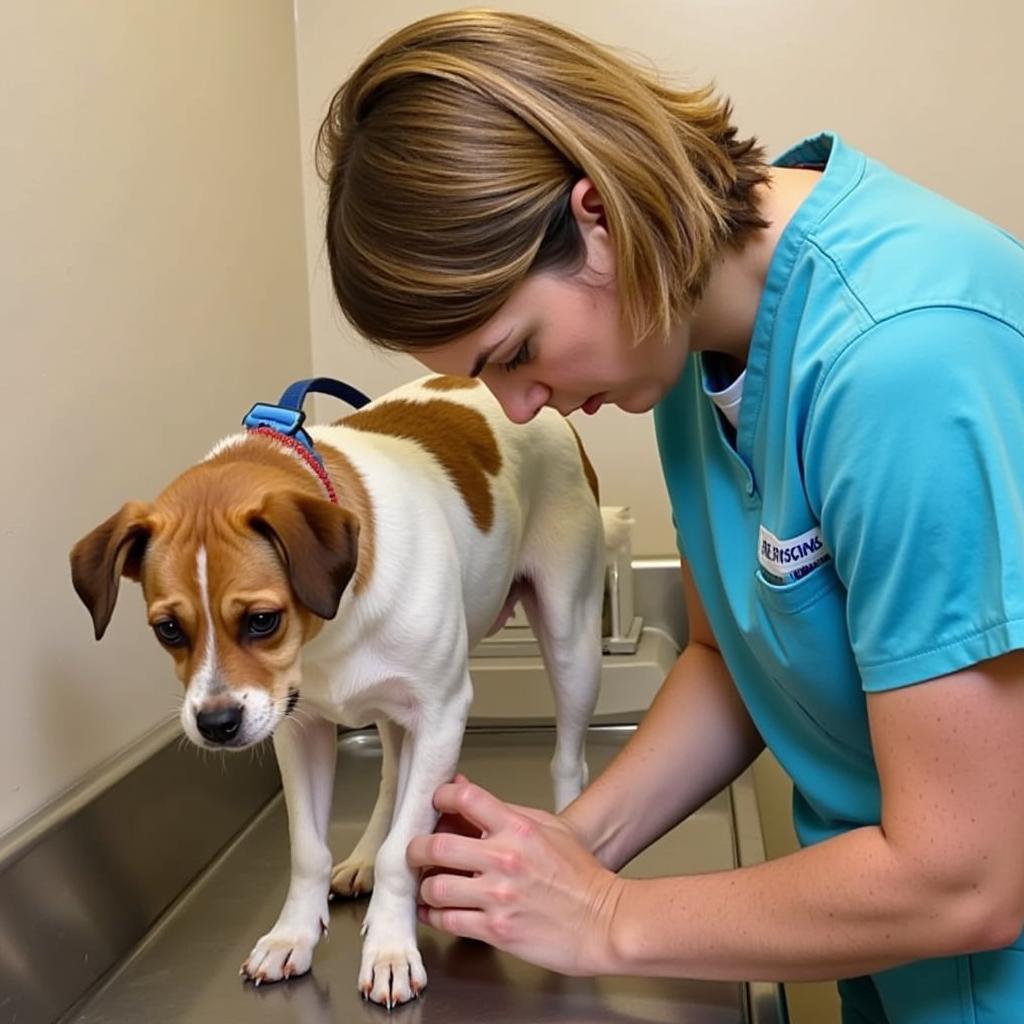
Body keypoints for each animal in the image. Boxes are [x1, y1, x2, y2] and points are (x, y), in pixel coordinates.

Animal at [70, 372, 614, 1003]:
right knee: (392, 777)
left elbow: (405, 850)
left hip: (571, 639)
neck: (328, 629)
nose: (216, 724)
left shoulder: (442, 713)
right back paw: (363, 857)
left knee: (567, 759)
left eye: (262, 620)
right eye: (169, 629)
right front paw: (293, 935)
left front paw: (392, 947)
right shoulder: (297, 728)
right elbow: (309, 848)